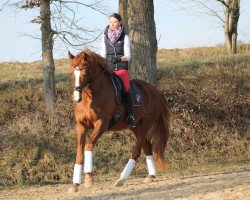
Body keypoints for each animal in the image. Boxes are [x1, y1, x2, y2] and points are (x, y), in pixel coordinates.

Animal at [68, 49, 170, 191]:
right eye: (72, 72)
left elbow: (88, 146)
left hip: (146, 124)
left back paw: (122, 179)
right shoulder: (81, 126)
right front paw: (75, 184)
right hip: (135, 126)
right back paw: (151, 176)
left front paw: (88, 178)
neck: (91, 98)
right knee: (147, 146)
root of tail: (157, 91)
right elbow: (79, 152)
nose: (77, 97)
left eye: (85, 71)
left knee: (137, 150)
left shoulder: (101, 124)